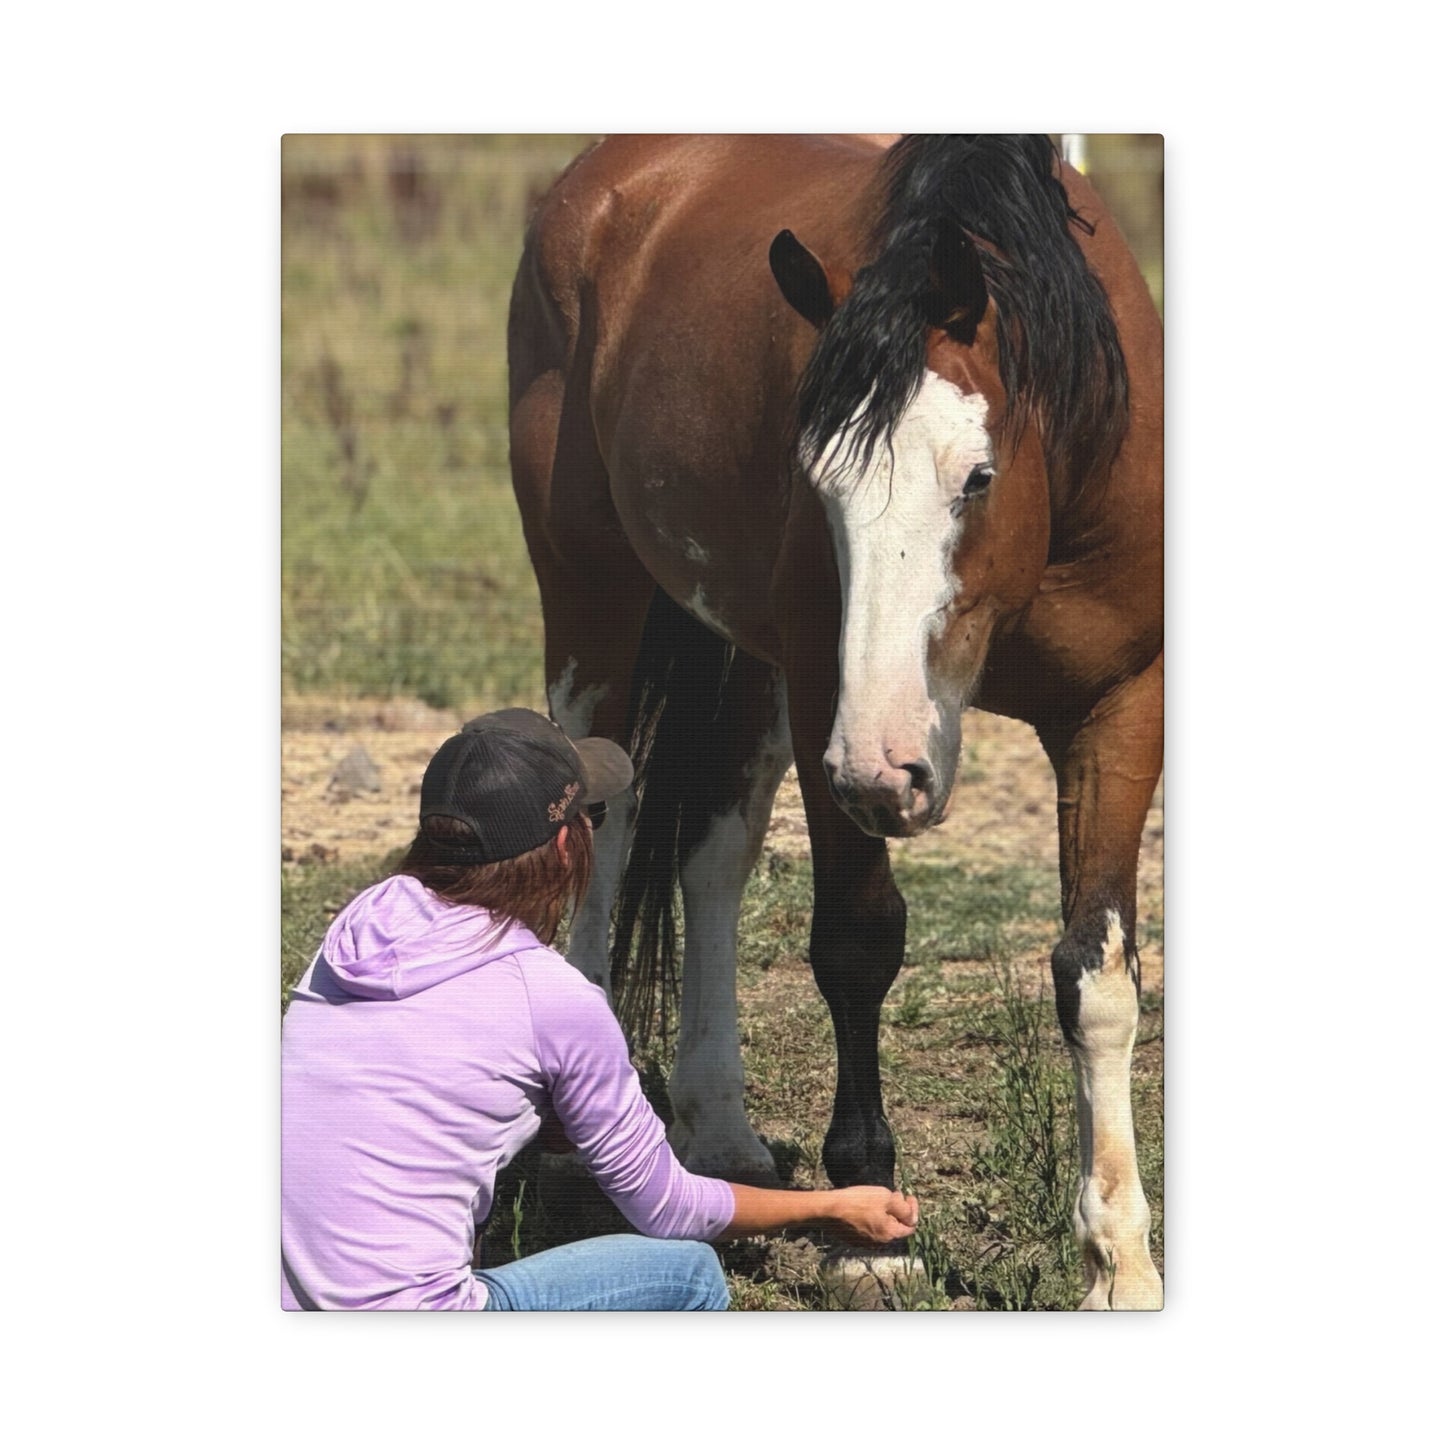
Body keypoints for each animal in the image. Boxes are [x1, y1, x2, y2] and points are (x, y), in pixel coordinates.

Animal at [507, 134, 1163, 1309]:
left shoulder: (1119, 706)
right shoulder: (828, 695)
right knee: (604, 824)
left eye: (977, 475)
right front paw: (870, 1227)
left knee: (713, 853)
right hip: (595, 599)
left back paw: (717, 1133)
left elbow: (1095, 976)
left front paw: (1118, 1259)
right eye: (817, 479)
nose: (885, 769)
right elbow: (857, 943)